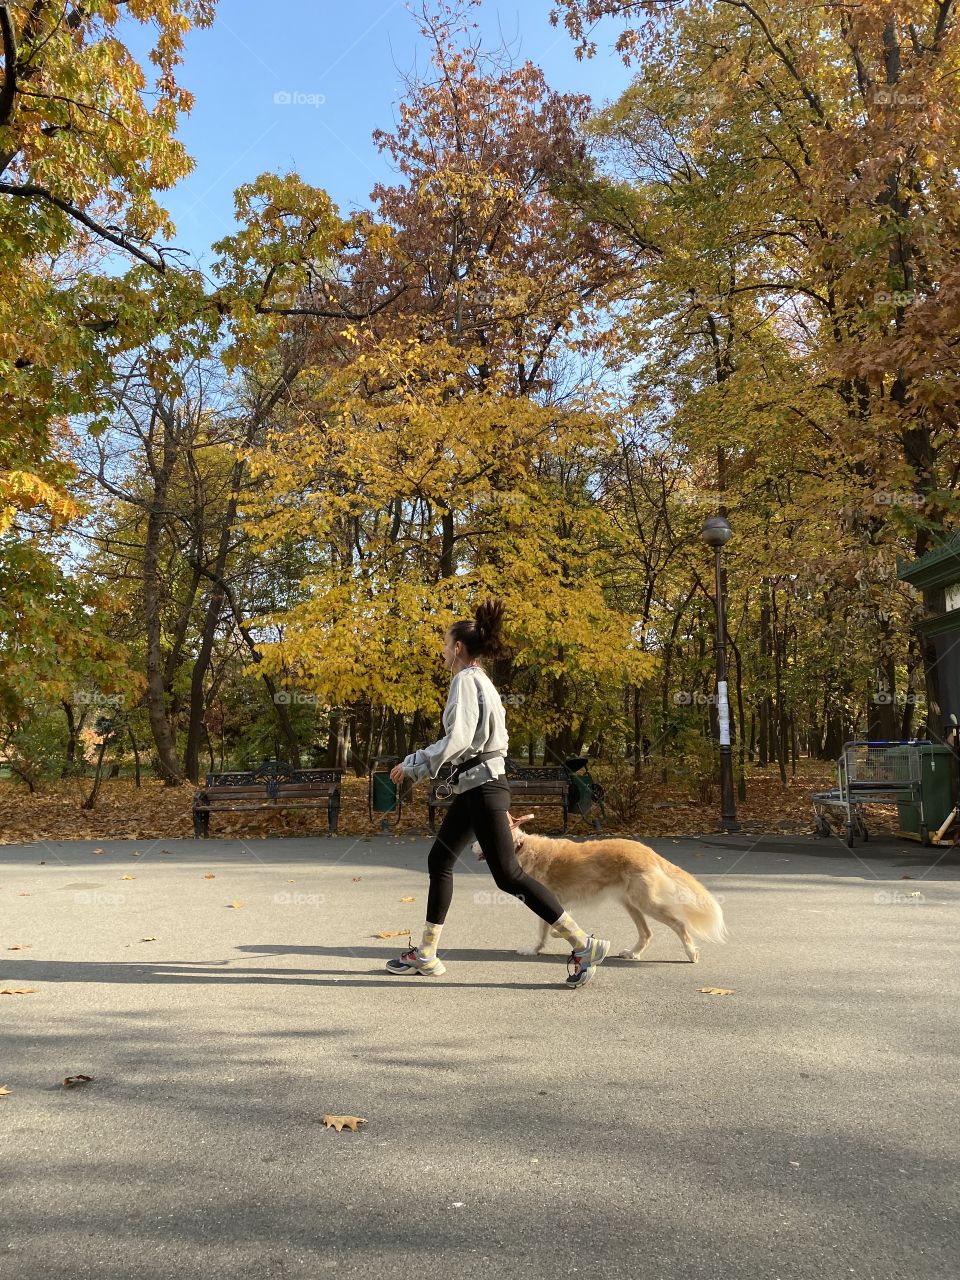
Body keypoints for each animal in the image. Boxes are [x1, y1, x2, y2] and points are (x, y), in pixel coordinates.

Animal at [473, 814, 727, 962]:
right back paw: (633, 953)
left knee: (679, 924)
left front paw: (534, 949)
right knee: (646, 933)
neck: (520, 847)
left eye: (479, 838)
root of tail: (647, 851)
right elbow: (555, 925)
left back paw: (691, 952)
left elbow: (544, 931)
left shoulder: (544, 898)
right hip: (630, 903)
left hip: (646, 903)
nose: (472, 847)